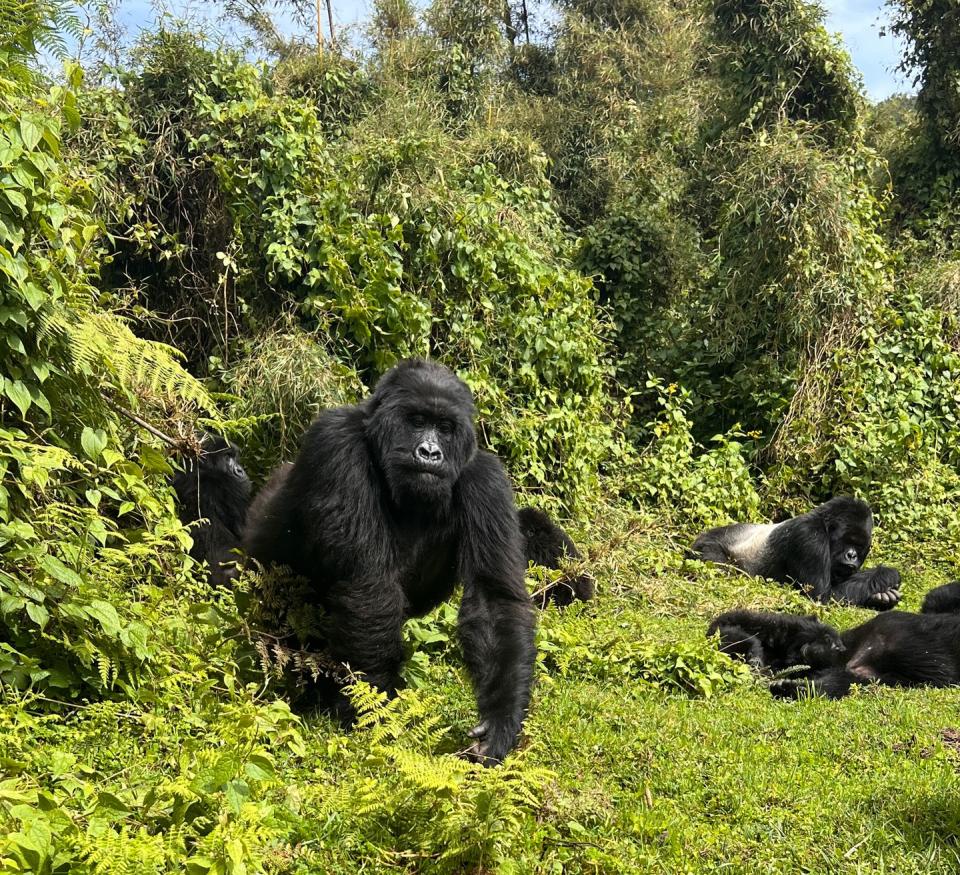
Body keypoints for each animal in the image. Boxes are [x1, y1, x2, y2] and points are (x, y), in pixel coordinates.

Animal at [244, 360, 536, 764]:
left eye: (445, 428)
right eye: (417, 420)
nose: (430, 452)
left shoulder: (486, 479)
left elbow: (494, 599)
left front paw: (500, 721)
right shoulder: (337, 442)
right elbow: (369, 586)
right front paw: (377, 712)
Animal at [688, 496, 900, 612]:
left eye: (860, 546)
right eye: (848, 541)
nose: (852, 556)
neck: (824, 525)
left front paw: (880, 597)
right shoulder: (809, 537)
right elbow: (821, 597)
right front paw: (886, 575)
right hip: (703, 547)